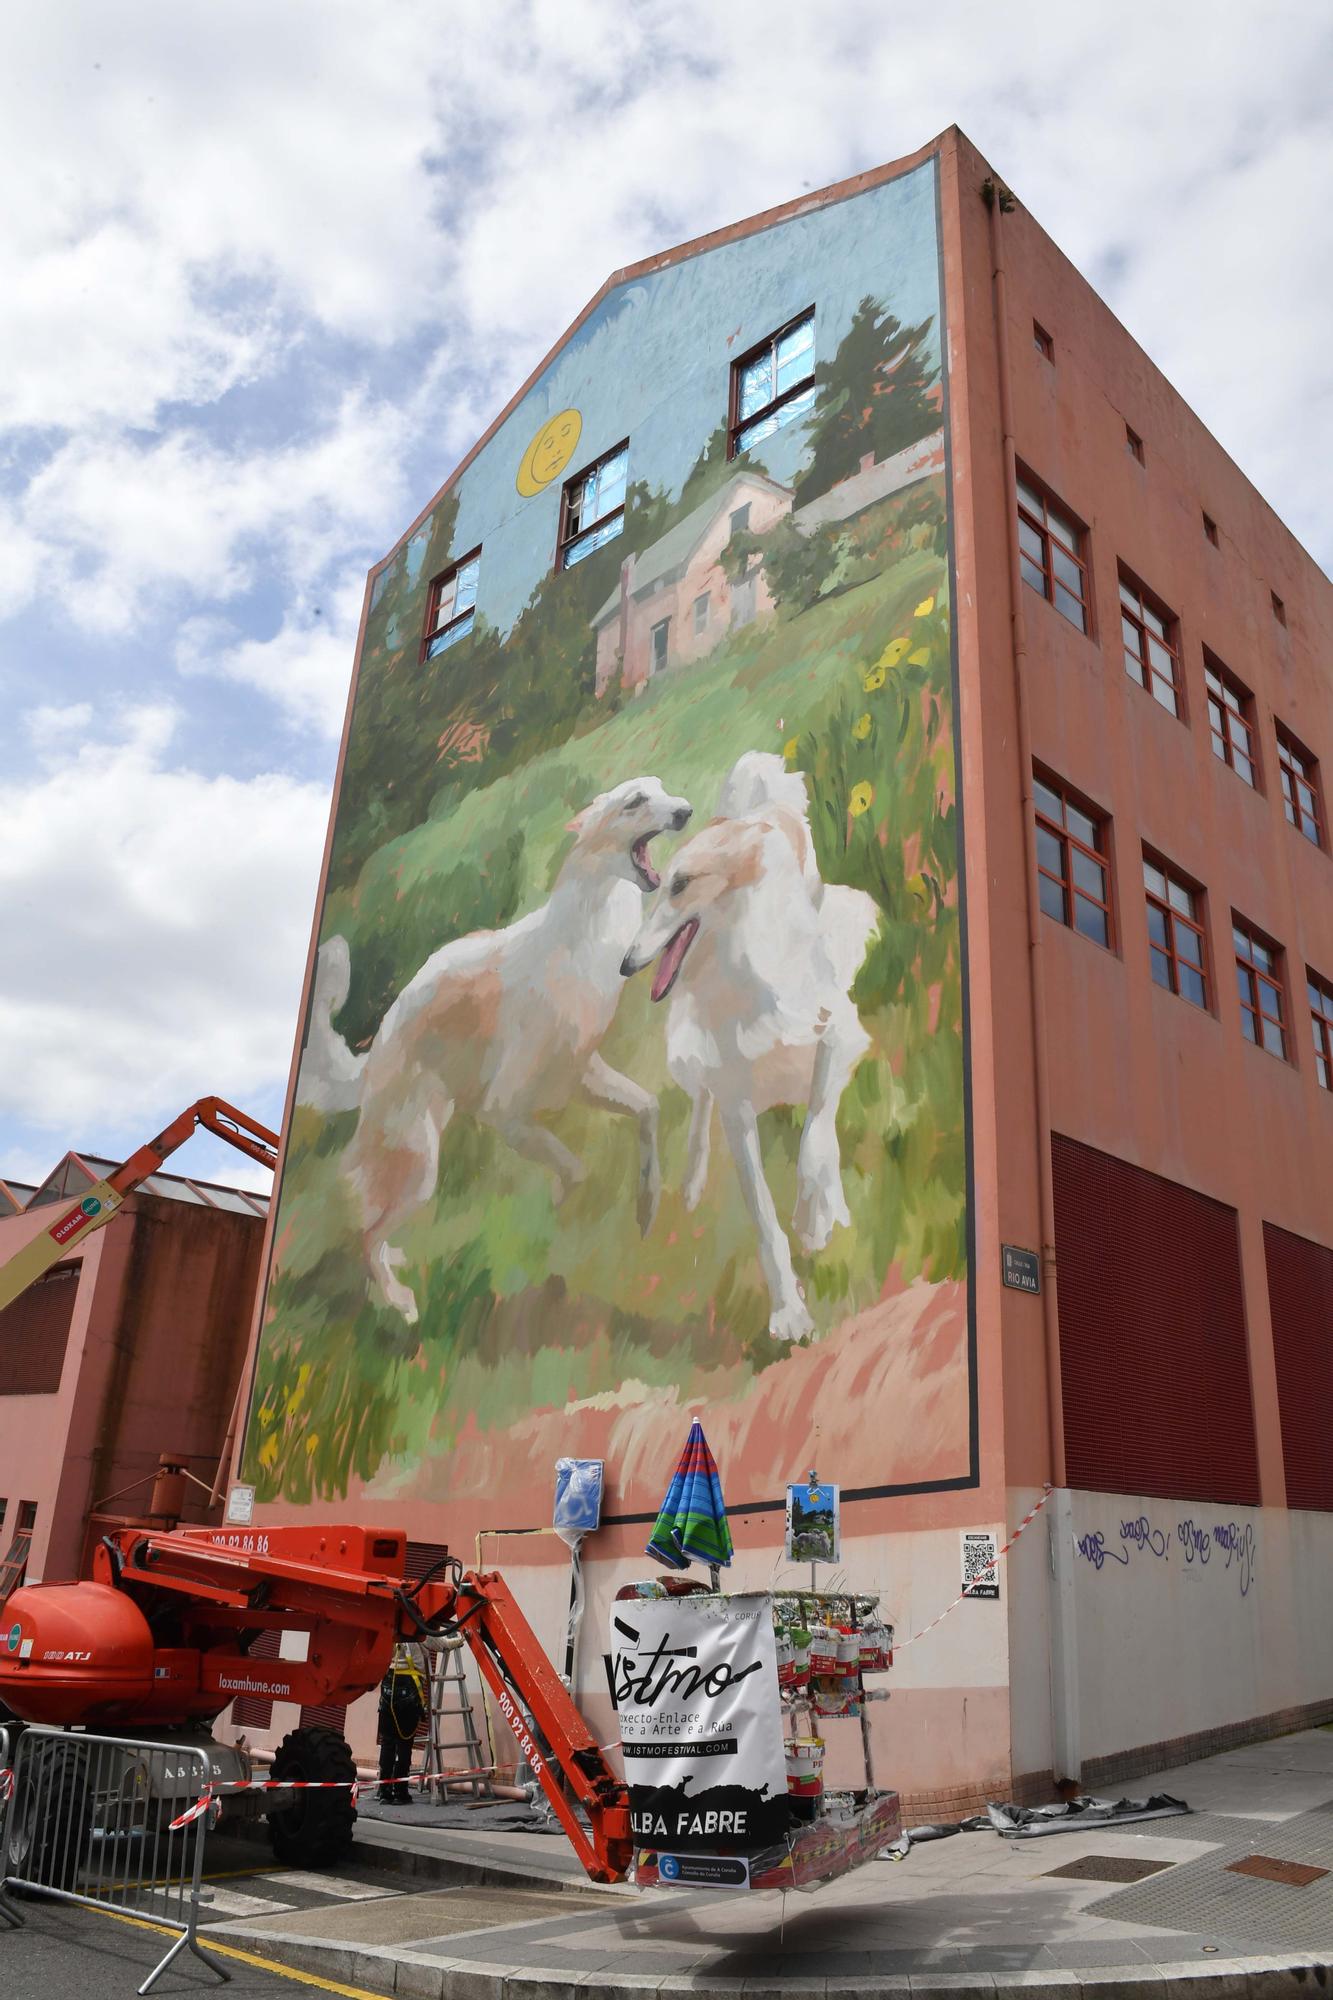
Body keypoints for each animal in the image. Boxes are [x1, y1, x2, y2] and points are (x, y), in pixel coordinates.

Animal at [332, 780, 688, 1328]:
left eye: (663, 789)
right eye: (635, 801)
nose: (686, 812)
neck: (582, 937)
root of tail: (372, 1057)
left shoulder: (581, 1072)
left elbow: (647, 1110)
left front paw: (646, 1209)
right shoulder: (506, 1112)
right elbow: (574, 1170)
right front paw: (561, 1215)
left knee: (376, 1230)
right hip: (420, 1162)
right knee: (366, 1234)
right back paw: (401, 1304)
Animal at [620, 752, 876, 1344]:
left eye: (682, 884)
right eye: (659, 885)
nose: (625, 963)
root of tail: (751, 812)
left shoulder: (841, 1035)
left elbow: (816, 1133)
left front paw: (816, 1217)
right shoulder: (736, 1104)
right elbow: (762, 1216)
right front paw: (789, 1313)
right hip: (691, 1053)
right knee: (699, 1106)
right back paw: (692, 1183)